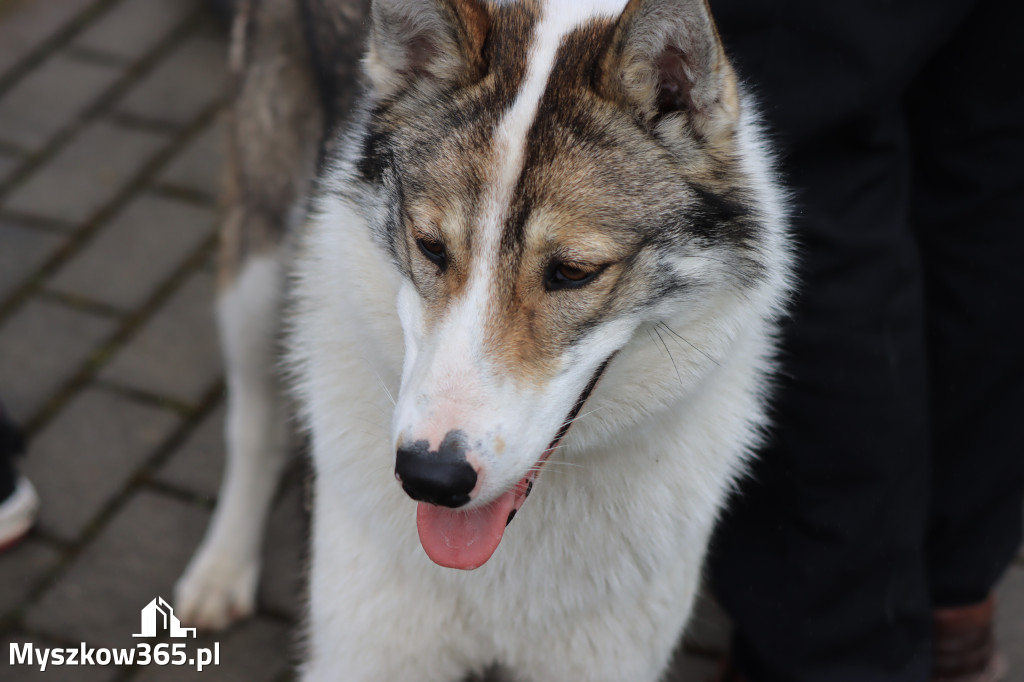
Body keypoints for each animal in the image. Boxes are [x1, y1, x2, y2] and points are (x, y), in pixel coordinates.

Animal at [174, 2, 790, 675]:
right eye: (430, 247)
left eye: (572, 272)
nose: (430, 478)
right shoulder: (364, 652)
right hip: (256, 275)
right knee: (252, 423)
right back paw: (221, 569)